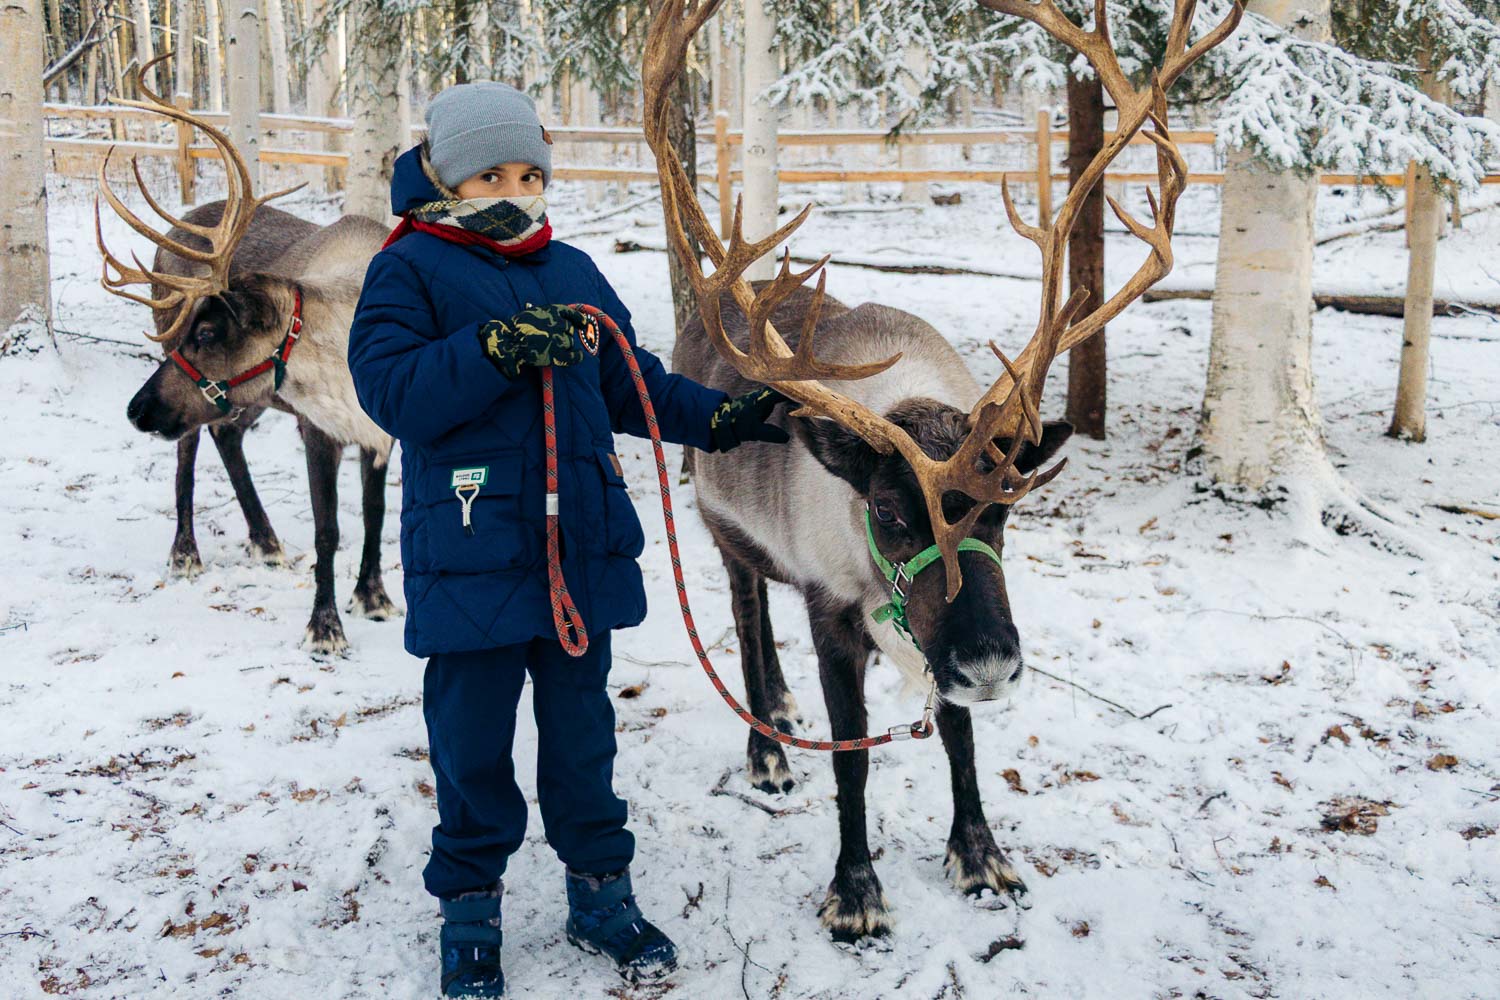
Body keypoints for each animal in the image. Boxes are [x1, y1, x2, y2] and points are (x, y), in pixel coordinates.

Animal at [98, 56, 397, 655]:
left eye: (211, 333)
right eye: (196, 329)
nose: (134, 410)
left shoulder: (383, 434)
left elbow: (374, 514)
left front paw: (373, 595)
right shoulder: (316, 426)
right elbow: (328, 530)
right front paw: (324, 626)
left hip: (247, 399)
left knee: (225, 433)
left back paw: (265, 540)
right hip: (190, 390)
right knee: (189, 451)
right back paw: (186, 551)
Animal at [643, 0, 1241, 941]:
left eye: (1003, 513)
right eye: (889, 513)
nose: (993, 661)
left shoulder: (940, 645)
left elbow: (959, 735)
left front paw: (981, 855)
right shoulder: (831, 608)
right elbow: (852, 757)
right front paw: (855, 891)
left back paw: (779, 707)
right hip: (718, 526)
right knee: (744, 615)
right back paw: (767, 746)